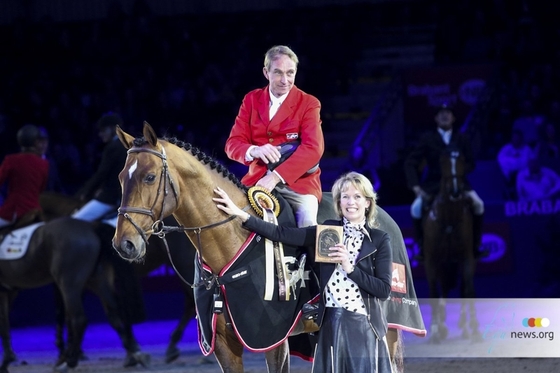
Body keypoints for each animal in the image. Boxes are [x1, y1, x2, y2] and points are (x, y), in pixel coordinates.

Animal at [0, 217, 150, 370]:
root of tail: (90, 227)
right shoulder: (7, 292)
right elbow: (4, 324)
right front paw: (7, 360)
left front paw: (6, 361)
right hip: (97, 280)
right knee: (115, 312)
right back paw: (135, 353)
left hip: (69, 285)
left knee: (79, 319)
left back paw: (69, 361)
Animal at [39, 190, 198, 362]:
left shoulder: (77, 281)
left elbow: (65, 311)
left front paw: (66, 349)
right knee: (190, 302)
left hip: (184, 264)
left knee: (192, 302)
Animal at [109, 123, 424, 372]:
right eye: (121, 178)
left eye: (150, 177)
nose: (124, 244)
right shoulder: (224, 345)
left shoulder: (273, 342)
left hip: (389, 328)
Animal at [422, 150, 480, 342]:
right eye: (443, 163)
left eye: (462, 161)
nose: (455, 192)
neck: (449, 219)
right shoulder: (432, 261)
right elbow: (434, 292)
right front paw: (435, 330)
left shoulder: (467, 258)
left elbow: (468, 290)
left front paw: (475, 329)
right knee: (444, 289)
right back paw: (442, 326)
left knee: (459, 289)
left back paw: (464, 326)